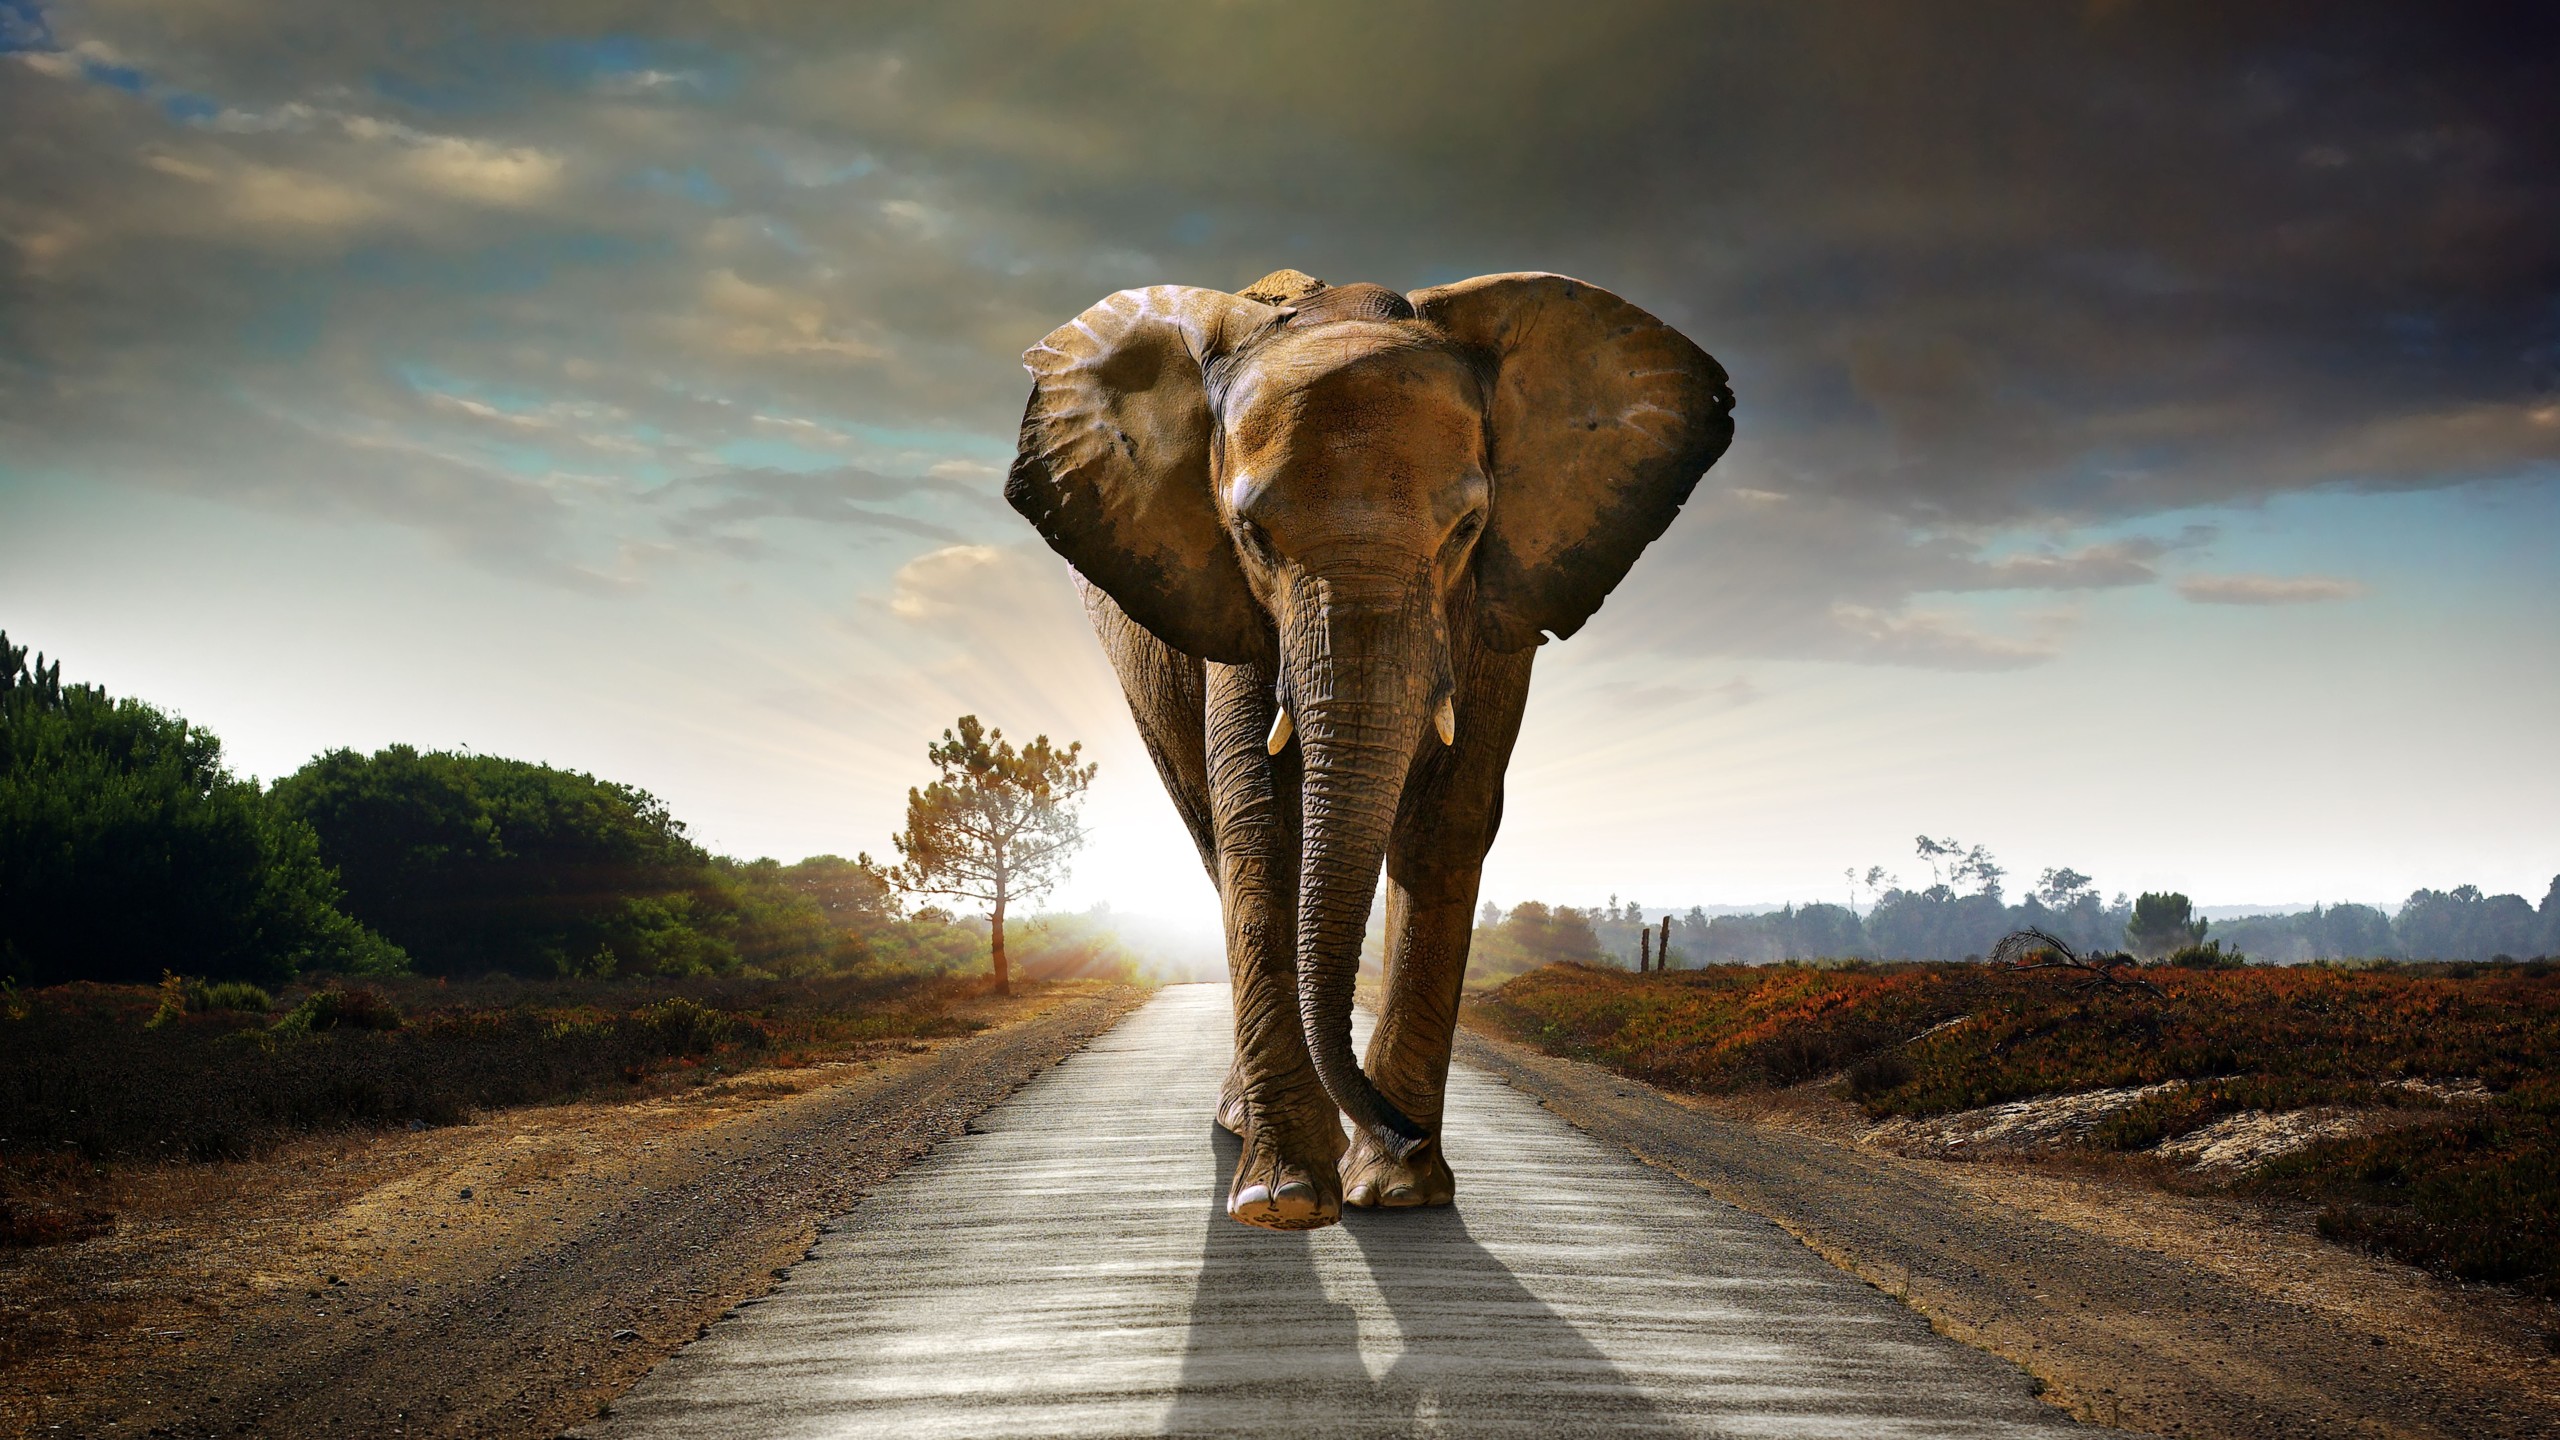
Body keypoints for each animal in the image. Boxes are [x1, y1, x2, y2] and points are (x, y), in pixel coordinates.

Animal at [1006, 268, 1734, 1230]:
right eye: (1252, 535)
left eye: (1467, 529)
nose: (1403, 1130)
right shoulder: (1233, 607)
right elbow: (1262, 820)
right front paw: (1285, 1200)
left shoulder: (1496, 604)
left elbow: (1448, 820)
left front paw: (1397, 1191)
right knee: (1211, 834)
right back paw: (1246, 1129)